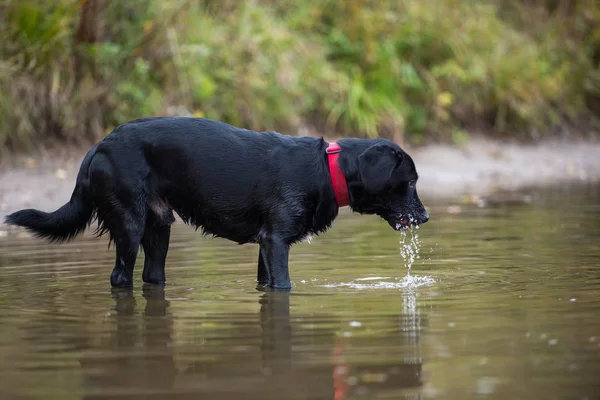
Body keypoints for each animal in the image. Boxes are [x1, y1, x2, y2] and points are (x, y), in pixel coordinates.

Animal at [3, 117, 426, 290]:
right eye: (409, 182)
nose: (424, 217)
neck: (327, 168)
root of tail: (97, 147)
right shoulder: (276, 241)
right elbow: (285, 285)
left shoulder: (265, 245)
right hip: (129, 223)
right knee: (120, 277)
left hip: (159, 228)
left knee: (151, 276)